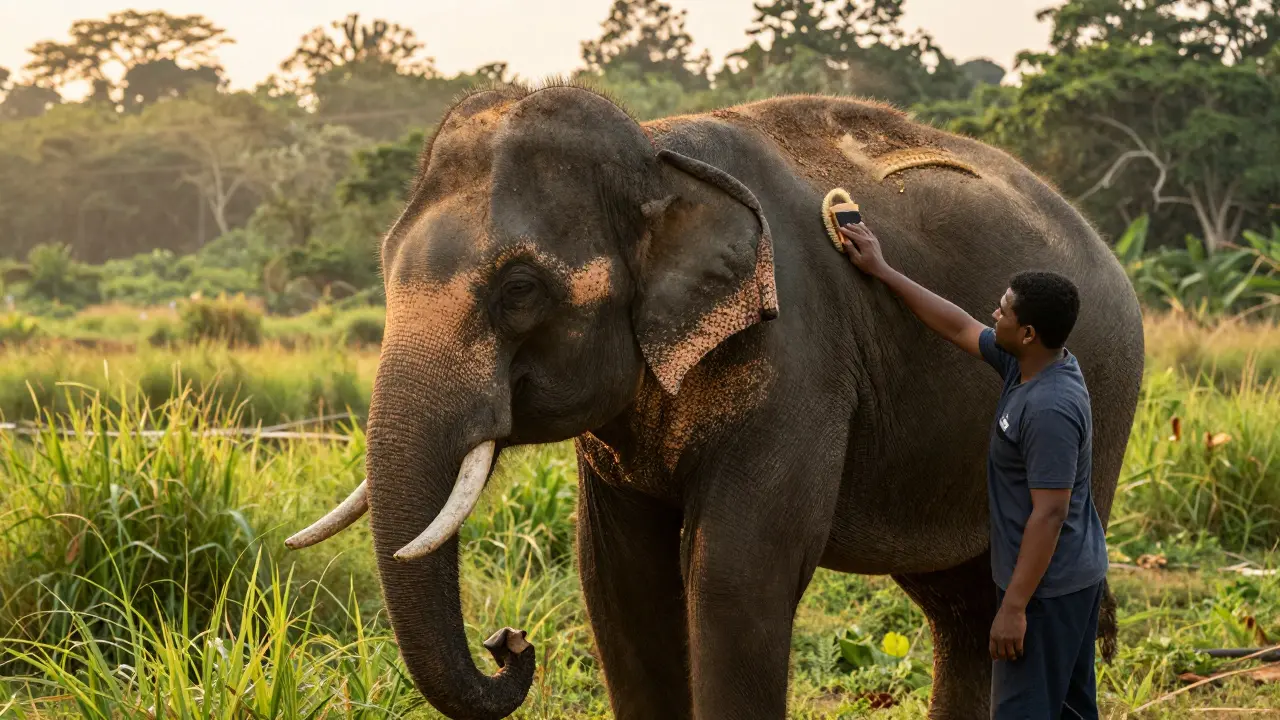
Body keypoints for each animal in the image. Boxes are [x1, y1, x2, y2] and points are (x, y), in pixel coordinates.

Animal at [287, 82, 1144, 720]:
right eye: (384, 267)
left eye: (520, 289)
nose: (510, 641)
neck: (656, 154)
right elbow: (618, 579)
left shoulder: (798, 355)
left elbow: (734, 576)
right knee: (962, 610)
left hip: (1102, 398)